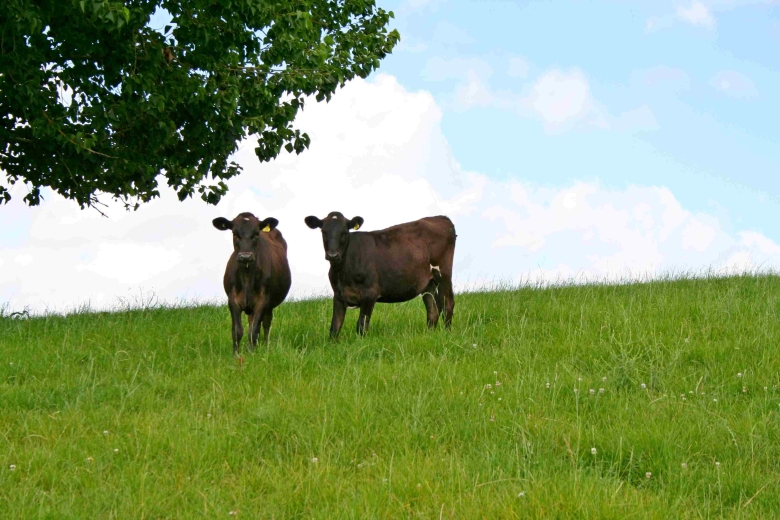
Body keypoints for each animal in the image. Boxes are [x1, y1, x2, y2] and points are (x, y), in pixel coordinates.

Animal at [212, 212, 292, 356]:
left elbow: (254, 331)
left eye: (256, 234)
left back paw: (265, 346)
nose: (245, 256)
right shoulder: (232, 300)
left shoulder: (263, 301)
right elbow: (237, 331)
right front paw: (236, 354)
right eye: (235, 233)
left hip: (269, 306)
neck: (247, 278)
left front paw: (251, 353)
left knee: (266, 324)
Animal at [304, 212, 456, 338]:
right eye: (324, 232)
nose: (332, 255)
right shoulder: (338, 295)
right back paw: (430, 335)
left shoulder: (370, 293)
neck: (343, 271)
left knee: (447, 304)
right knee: (433, 311)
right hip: (428, 283)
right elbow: (334, 328)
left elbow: (361, 325)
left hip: (444, 274)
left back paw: (447, 335)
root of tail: (441, 218)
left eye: (344, 233)